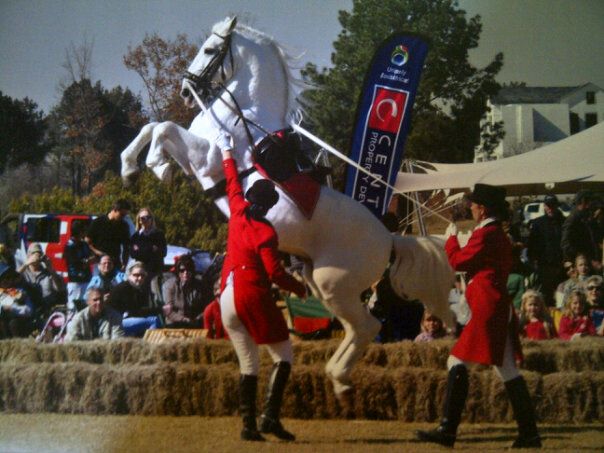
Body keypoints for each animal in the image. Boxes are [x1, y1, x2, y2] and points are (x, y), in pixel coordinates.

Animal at [121, 15, 452, 396]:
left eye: (209, 49)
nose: (186, 91)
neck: (243, 112)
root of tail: (390, 240)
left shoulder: (205, 159)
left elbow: (163, 128)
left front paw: (155, 166)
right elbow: (151, 126)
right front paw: (128, 167)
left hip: (331, 284)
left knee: (368, 326)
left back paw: (339, 379)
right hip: (321, 282)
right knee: (360, 327)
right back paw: (337, 378)